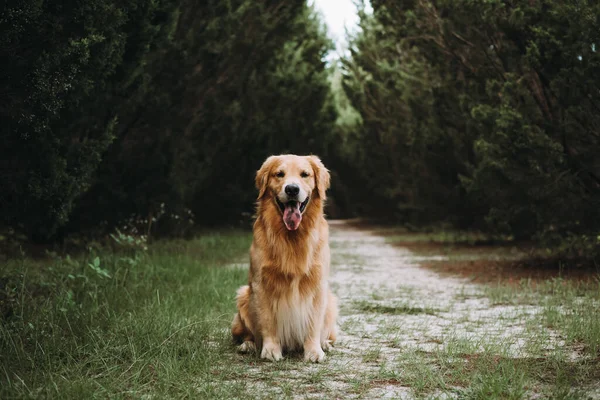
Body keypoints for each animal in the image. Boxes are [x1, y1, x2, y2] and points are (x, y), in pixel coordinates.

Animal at [232, 154, 338, 362]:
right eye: (279, 174)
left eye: (305, 174)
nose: (292, 189)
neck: (292, 237)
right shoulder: (261, 284)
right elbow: (267, 321)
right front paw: (271, 350)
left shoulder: (318, 284)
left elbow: (313, 323)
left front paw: (314, 351)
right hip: (243, 297)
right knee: (247, 334)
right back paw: (248, 345)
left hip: (331, 303)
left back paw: (325, 343)